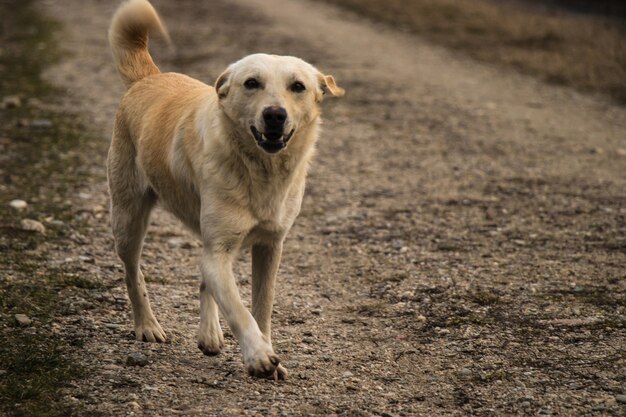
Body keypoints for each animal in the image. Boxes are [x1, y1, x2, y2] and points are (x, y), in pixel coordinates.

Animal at [106, 0, 342, 378]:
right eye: (252, 83)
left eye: (298, 86)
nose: (274, 115)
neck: (260, 170)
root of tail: (149, 78)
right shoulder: (219, 252)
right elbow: (239, 309)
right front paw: (258, 354)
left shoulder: (270, 248)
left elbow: (261, 306)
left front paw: (268, 351)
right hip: (127, 220)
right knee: (133, 273)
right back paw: (147, 326)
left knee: (202, 274)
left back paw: (208, 335)